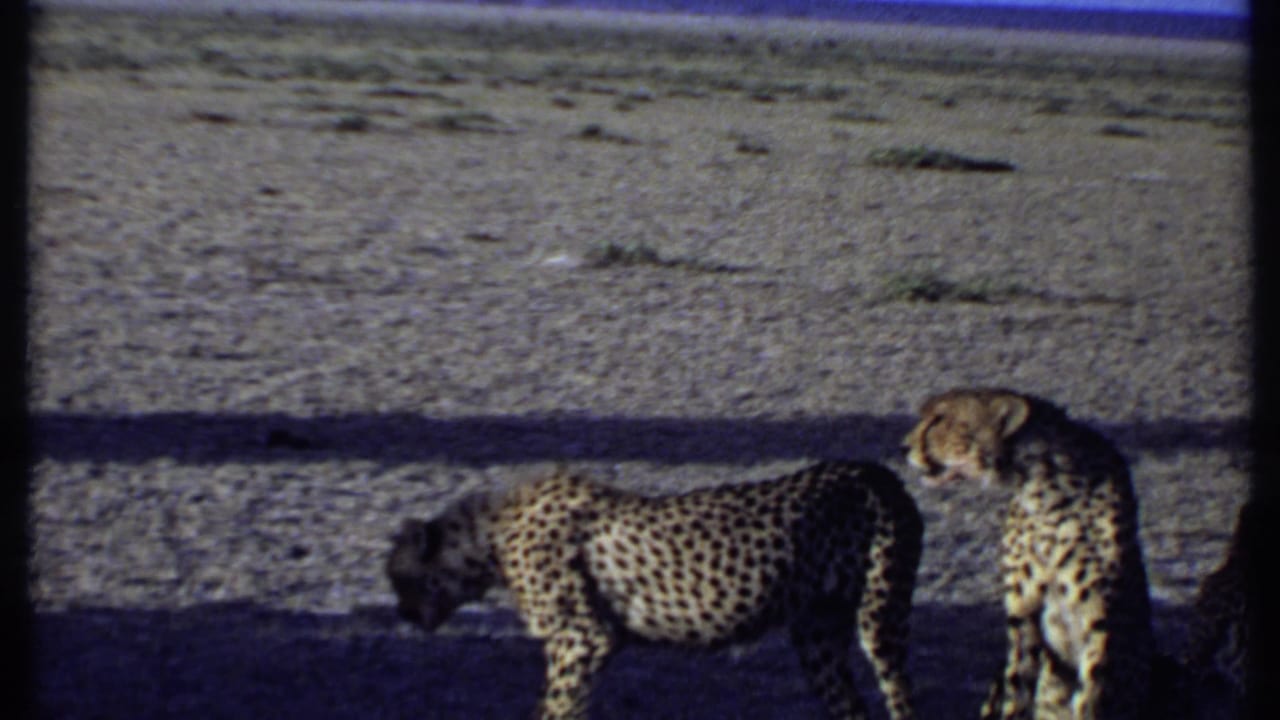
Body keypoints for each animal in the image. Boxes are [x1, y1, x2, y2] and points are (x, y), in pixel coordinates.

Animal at [386, 460, 923, 720]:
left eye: (398, 577)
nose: (403, 614)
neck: (489, 538)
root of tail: (871, 470)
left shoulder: (584, 640)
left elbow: (556, 707)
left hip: (880, 621)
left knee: (900, 699)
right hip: (818, 639)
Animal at [902, 387, 1155, 720]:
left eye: (940, 419)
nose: (903, 446)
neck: (1045, 487)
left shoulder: (1099, 616)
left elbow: (1092, 693)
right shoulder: (1024, 612)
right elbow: (1018, 687)